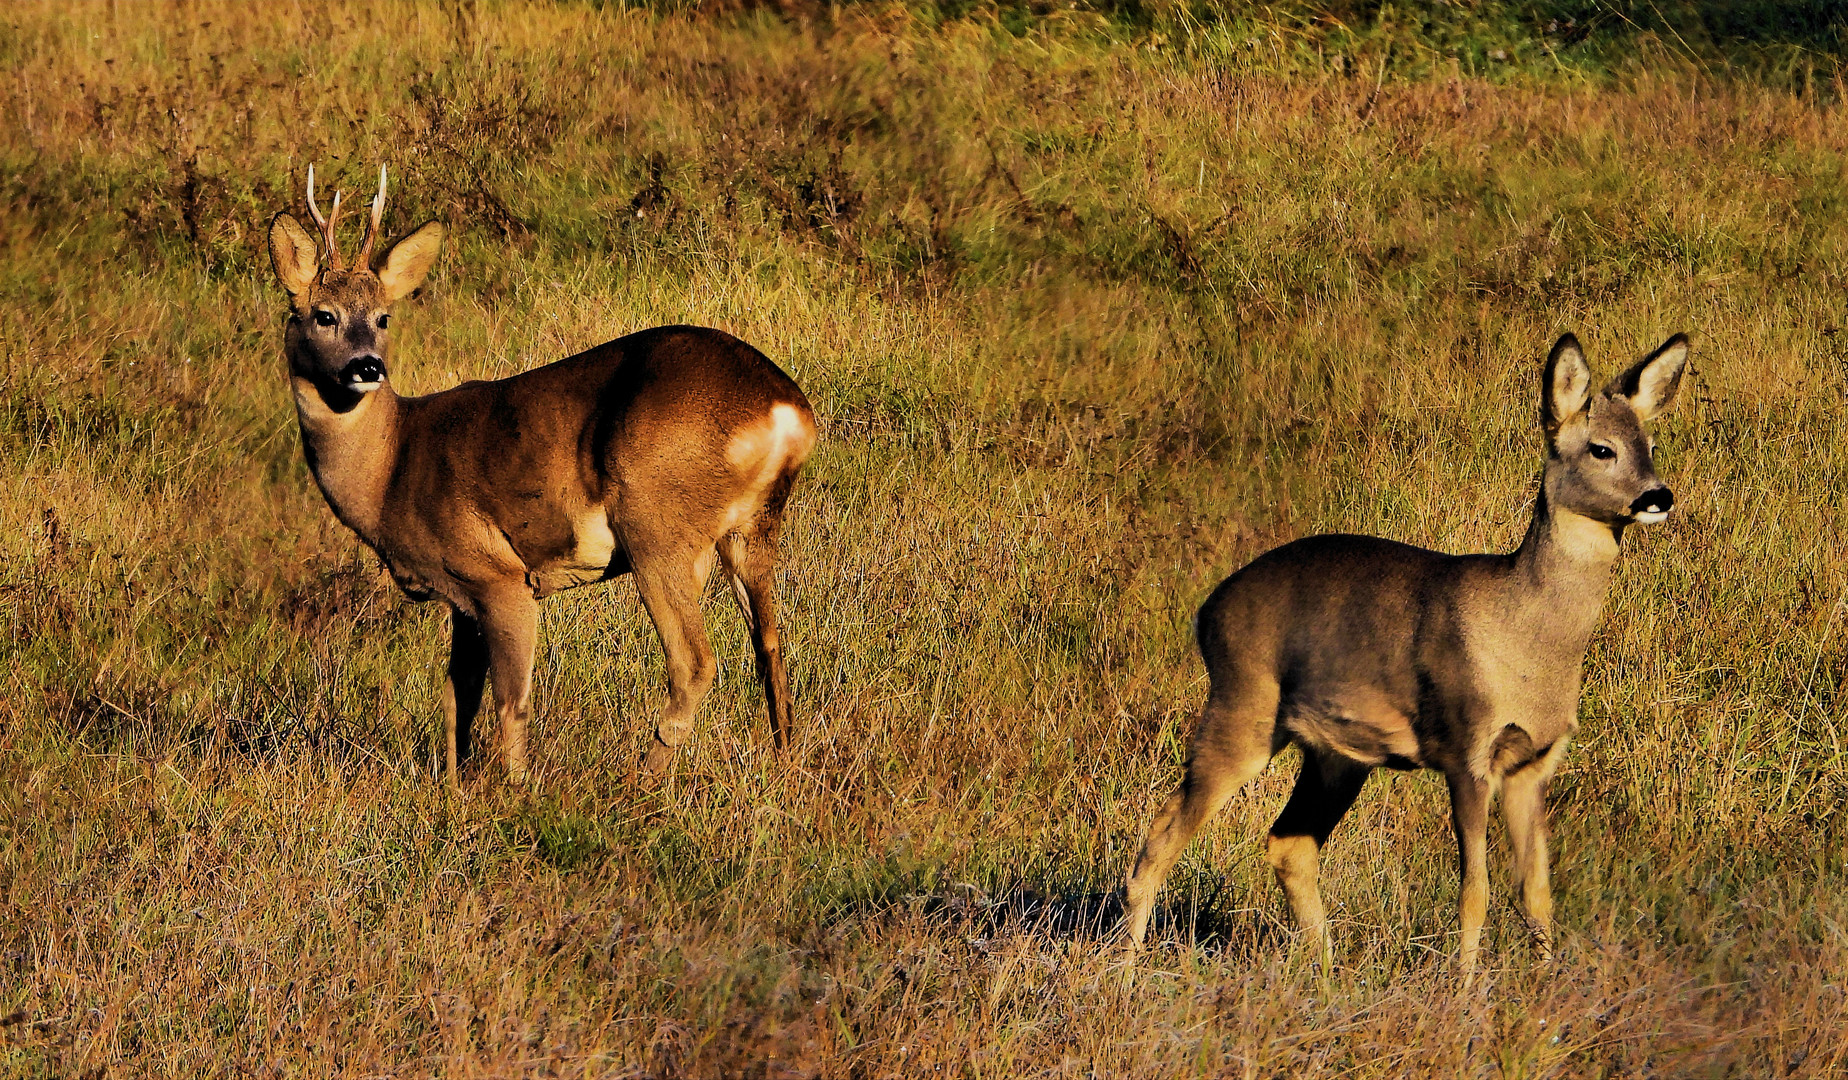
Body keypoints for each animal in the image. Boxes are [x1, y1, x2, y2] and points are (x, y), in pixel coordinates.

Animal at [264, 164, 813, 780]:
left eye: (383, 318)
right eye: (323, 314)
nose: (366, 366)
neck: (391, 471)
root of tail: (787, 411)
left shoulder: (497, 573)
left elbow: (511, 700)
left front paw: (514, 788)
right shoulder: (460, 596)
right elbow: (456, 699)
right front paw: (452, 787)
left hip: (658, 523)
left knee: (696, 661)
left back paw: (638, 781)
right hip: (751, 529)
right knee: (770, 648)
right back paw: (786, 765)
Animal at [1123, 332, 1692, 976]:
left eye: (1651, 444)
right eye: (1601, 449)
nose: (1659, 495)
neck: (1524, 639)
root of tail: (1206, 609)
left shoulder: (1533, 762)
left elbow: (1536, 889)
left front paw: (1547, 983)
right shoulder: (1467, 749)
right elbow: (1476, 889)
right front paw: (1466, 987)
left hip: (1335, 755)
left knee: (1288, 843)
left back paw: (1328, 975)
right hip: (1242, 706)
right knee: (1161, 838)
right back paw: (1124, 973)